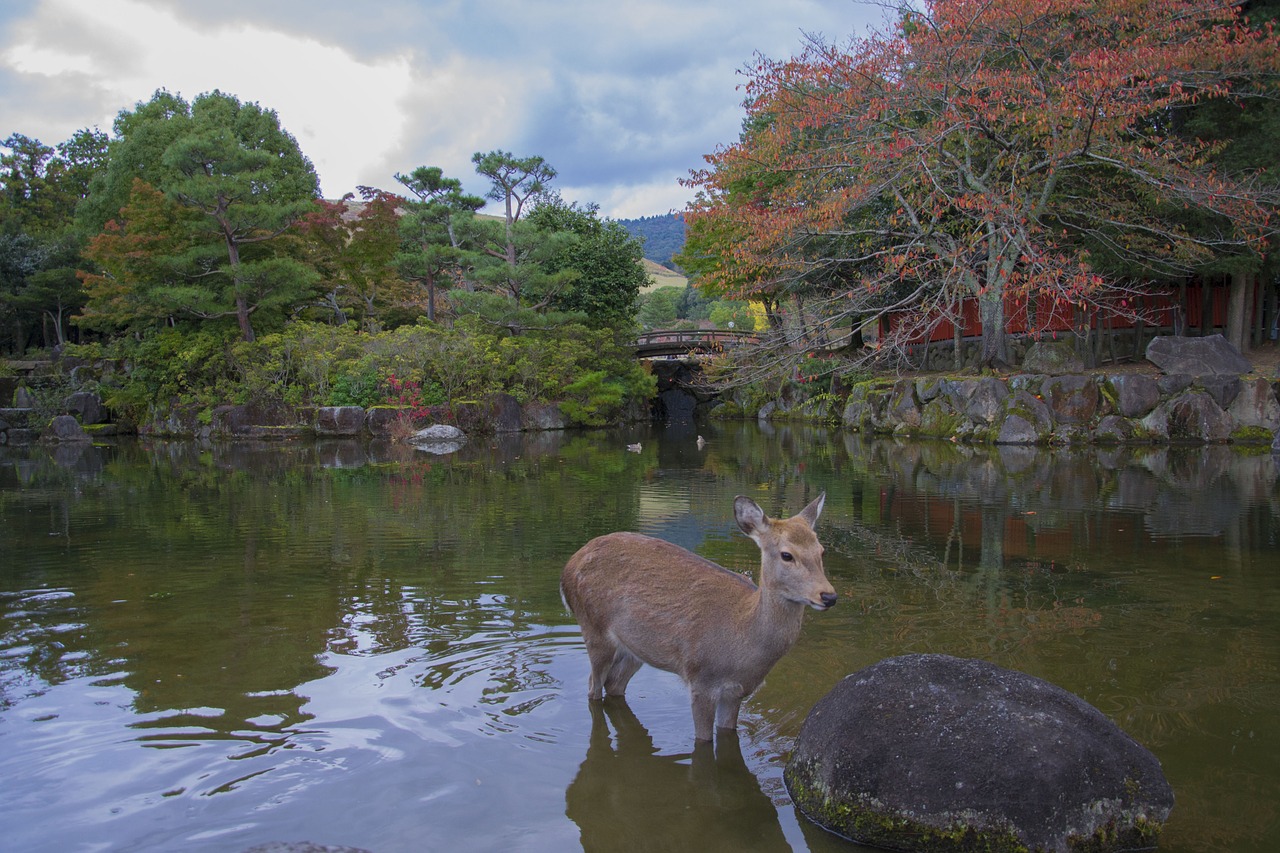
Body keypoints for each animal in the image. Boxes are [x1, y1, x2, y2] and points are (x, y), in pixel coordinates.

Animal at [560, 491, 829, 737]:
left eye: (821, 551)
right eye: (787, 554)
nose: (828, 595)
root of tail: (568, 569)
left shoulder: (736, 692)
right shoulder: (702, 680)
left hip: (637, 647)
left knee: (614, 683)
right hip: (594, 627)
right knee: (593, 688)